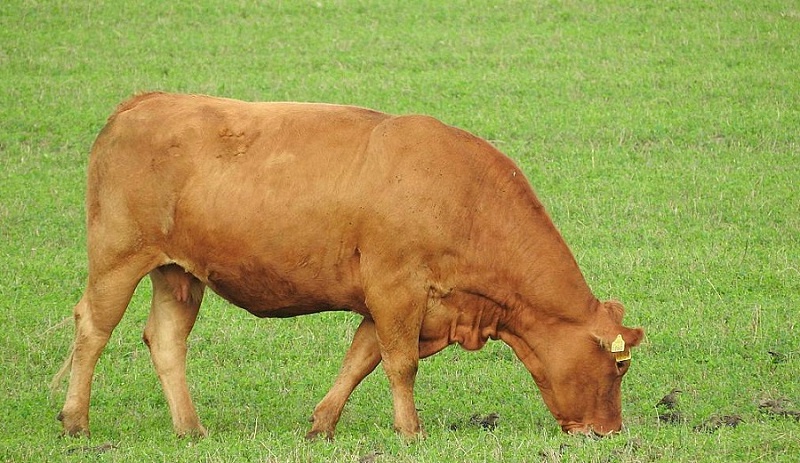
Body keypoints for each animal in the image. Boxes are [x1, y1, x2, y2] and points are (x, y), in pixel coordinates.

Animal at [53, 92, 644, 440]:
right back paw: (76, 421)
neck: (466, 199)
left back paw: (191, 429)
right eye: (619, 367)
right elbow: (400, 363)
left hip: (179, 274)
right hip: (117, 259)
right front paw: (411, 432)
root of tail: (144, 102)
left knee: (166, 339)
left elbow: (361, 359)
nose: (609, 431)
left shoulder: (390, 302)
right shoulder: (396, 289)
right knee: (93, 329)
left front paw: (322, 424)